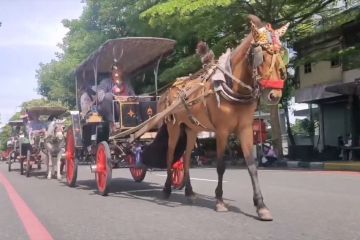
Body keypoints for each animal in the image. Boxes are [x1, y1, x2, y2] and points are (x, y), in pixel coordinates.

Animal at [153, 15, 288, 221]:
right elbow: (221, 165)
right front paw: (219, 201)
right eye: (261, 56)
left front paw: (261, 206)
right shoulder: (222, 131)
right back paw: (167, 189)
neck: (233, 87)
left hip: (191, 129)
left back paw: (189, 192)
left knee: (186, 158)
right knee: (170, 156)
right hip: (174, 128)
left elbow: (252, 166)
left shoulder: (245, 129)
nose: (274, 95)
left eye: (281, 54)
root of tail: (168, 91)